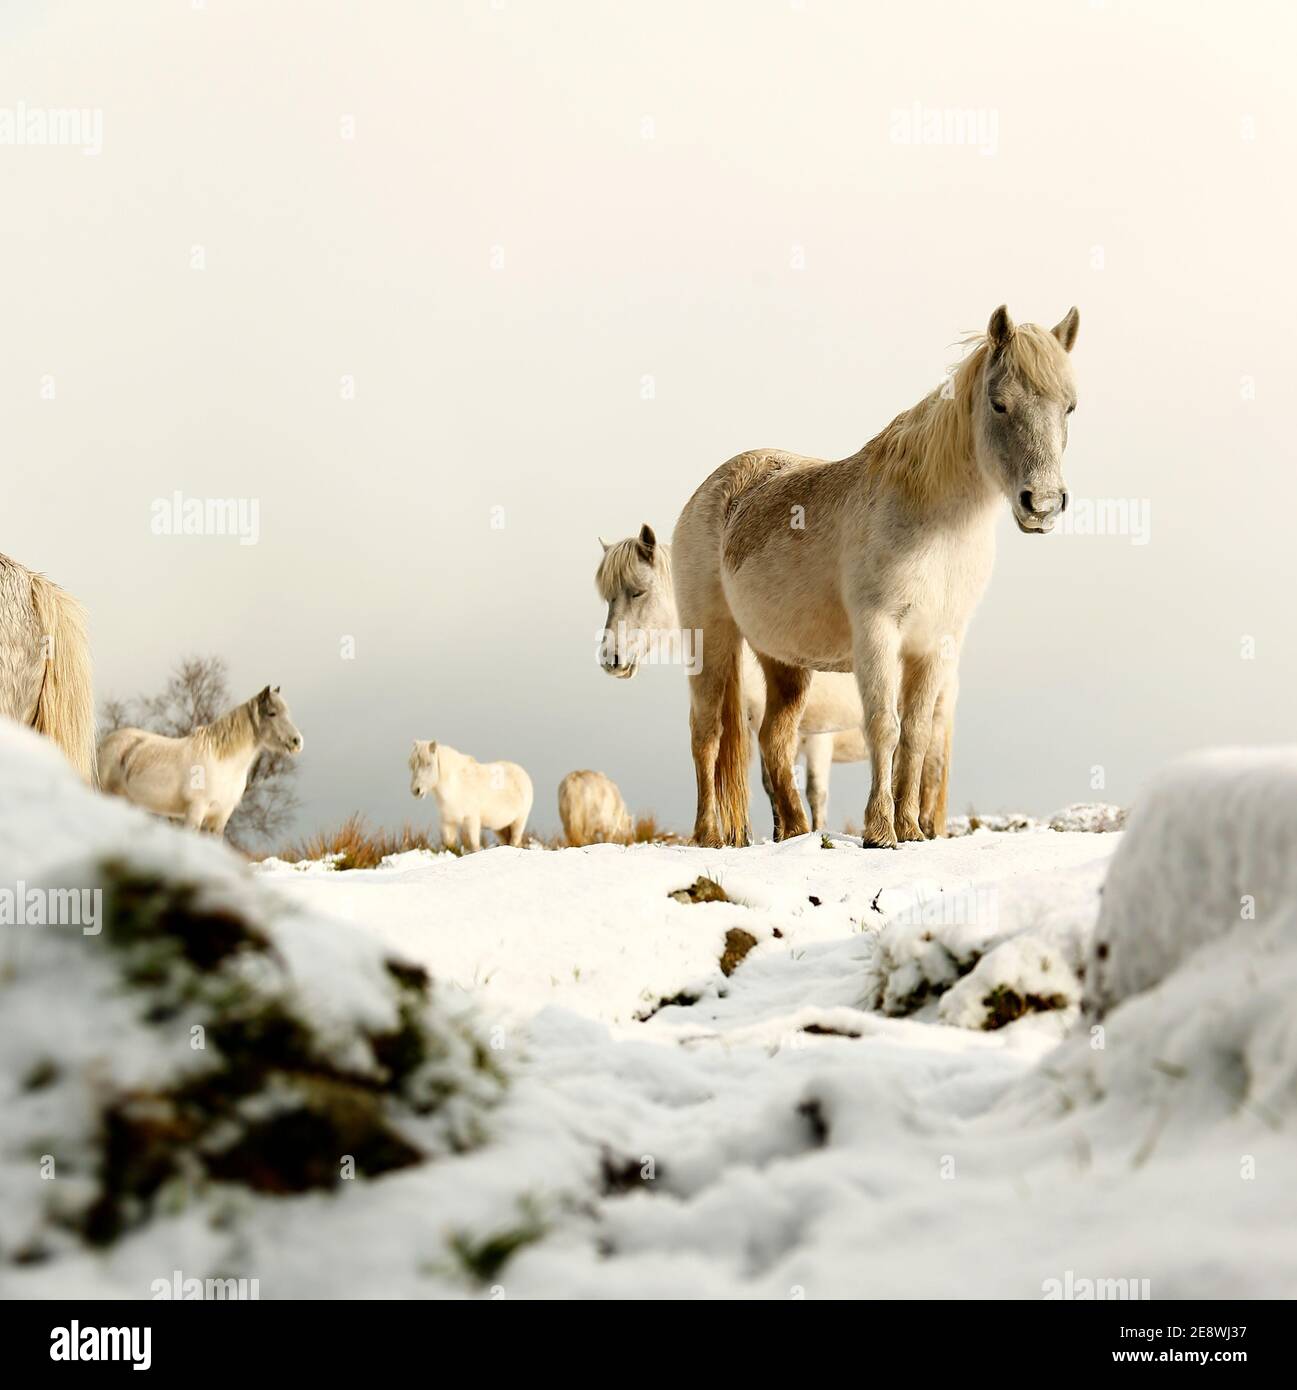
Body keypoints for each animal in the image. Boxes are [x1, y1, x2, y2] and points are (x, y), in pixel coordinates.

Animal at [98, 685, 303, 834]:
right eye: (272, 713)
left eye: (287, 713)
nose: (297, 741)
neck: (223, 763)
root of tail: (105, 743)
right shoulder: (195, 811)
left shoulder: (221, 817)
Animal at [595, 525, 865, 832]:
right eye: (609, 598)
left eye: (638, 592)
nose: (610, 658)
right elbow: (769, 783)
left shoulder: (817, 737)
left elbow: (812, 792)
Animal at [672, 304, 1080, 849]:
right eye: (999, 404)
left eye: (1069, 407)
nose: (1044, 504)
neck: (935, 524)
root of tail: (710, 490)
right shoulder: (878, 632)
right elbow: (884, 726)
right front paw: (880, 831)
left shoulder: (934, 645)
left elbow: (917, 735)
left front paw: (911, 830)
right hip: (711, 641)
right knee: (707, 734)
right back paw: (710, 835)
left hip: (783, 663)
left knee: (774, 740)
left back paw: (795, 833)